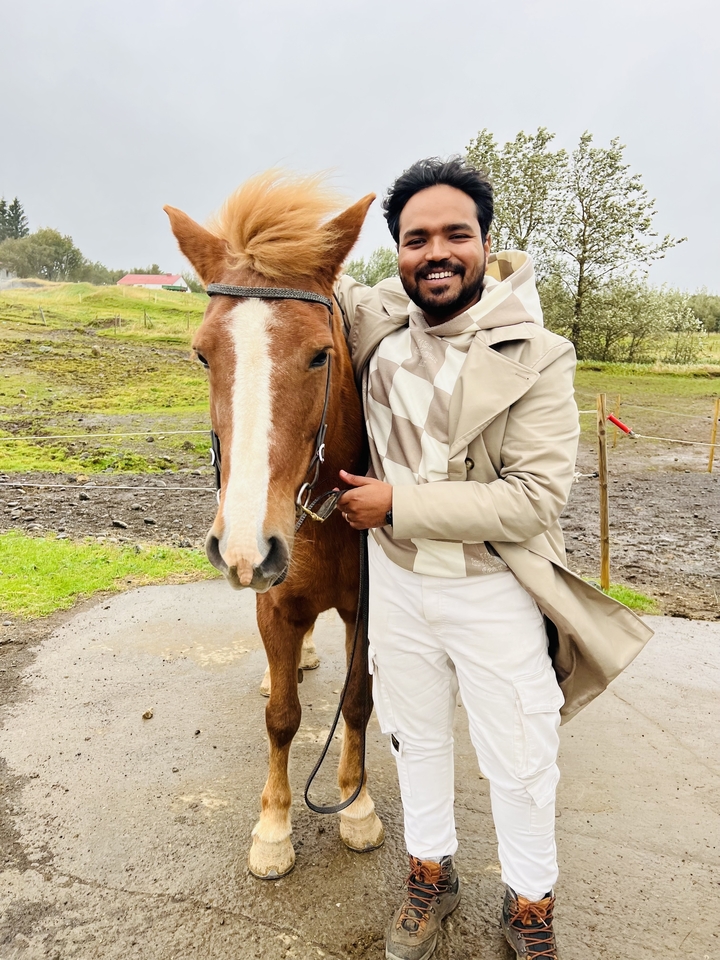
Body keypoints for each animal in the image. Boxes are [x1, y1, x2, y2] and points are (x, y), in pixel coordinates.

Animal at [164, 172, 384, 879]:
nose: (244, 547)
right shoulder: (274, 603)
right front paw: (274, 827)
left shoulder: (365, 611)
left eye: (320, 355)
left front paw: (357, 807)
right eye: (202, 357)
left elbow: (357, 702)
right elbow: (282, 716)